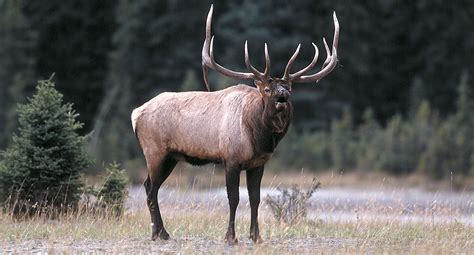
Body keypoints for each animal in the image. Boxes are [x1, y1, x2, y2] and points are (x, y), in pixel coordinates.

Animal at [131, 4, 338, 245]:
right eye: (267, 88)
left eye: (289, 87)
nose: (282, 97)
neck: (259, 138)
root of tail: (135, 114)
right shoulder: (230, 159)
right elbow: (234, 198)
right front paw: (230, 236)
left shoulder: (258, 163)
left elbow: (255, 198)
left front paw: (256, 236)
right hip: (155, 151)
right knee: (150, 189)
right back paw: (159, 233)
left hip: (171, 157)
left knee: (150, 187)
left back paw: (161, 232)